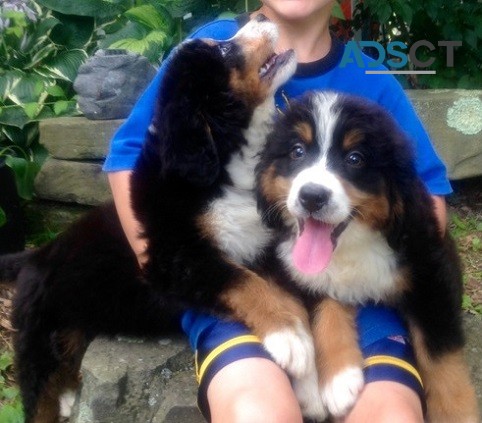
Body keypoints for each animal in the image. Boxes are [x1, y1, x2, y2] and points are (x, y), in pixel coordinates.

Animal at [256, 92, 478, 423]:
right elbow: (326, 309)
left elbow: (440, 355)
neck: (352, 244)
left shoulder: (431, 271)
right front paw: (339, 379)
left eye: (355, 159)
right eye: (297, 151)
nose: (312, 197)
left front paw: (456, 414)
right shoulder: (305, 275)